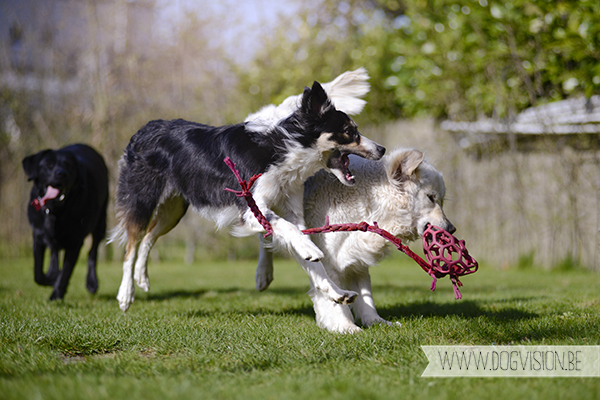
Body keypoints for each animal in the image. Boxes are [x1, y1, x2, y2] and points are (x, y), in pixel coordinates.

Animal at [22, 144, 109, 300]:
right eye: (48, 165)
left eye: (69, 166)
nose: (60, 174)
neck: (55, 210)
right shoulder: (37, 236)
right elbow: (38, 272)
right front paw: (50, 278)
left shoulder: (75, 242)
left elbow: (66, 272)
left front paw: (56, 295)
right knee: (54, 250)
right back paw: (52, 272)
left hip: (101, 223)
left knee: (92, 253)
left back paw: (91, 282)